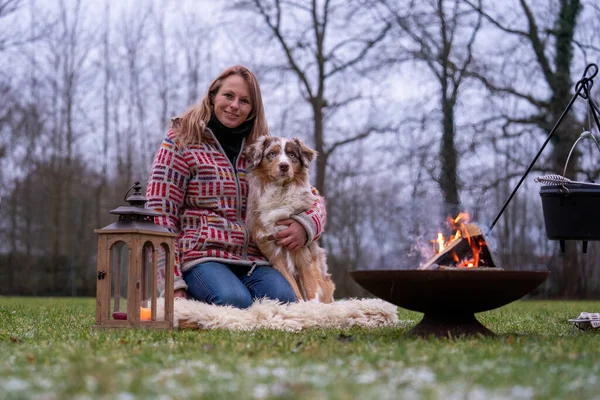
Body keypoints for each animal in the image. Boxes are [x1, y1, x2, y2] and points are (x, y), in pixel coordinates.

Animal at [245, 136, 338, 302]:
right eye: (272, 153)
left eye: (292, 155)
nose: (284, 166)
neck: (280, 191)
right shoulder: (272, 250)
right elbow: (292, 287)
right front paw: (300, 305)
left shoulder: (303, 249)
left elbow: (310, 287)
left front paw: (313, 306)